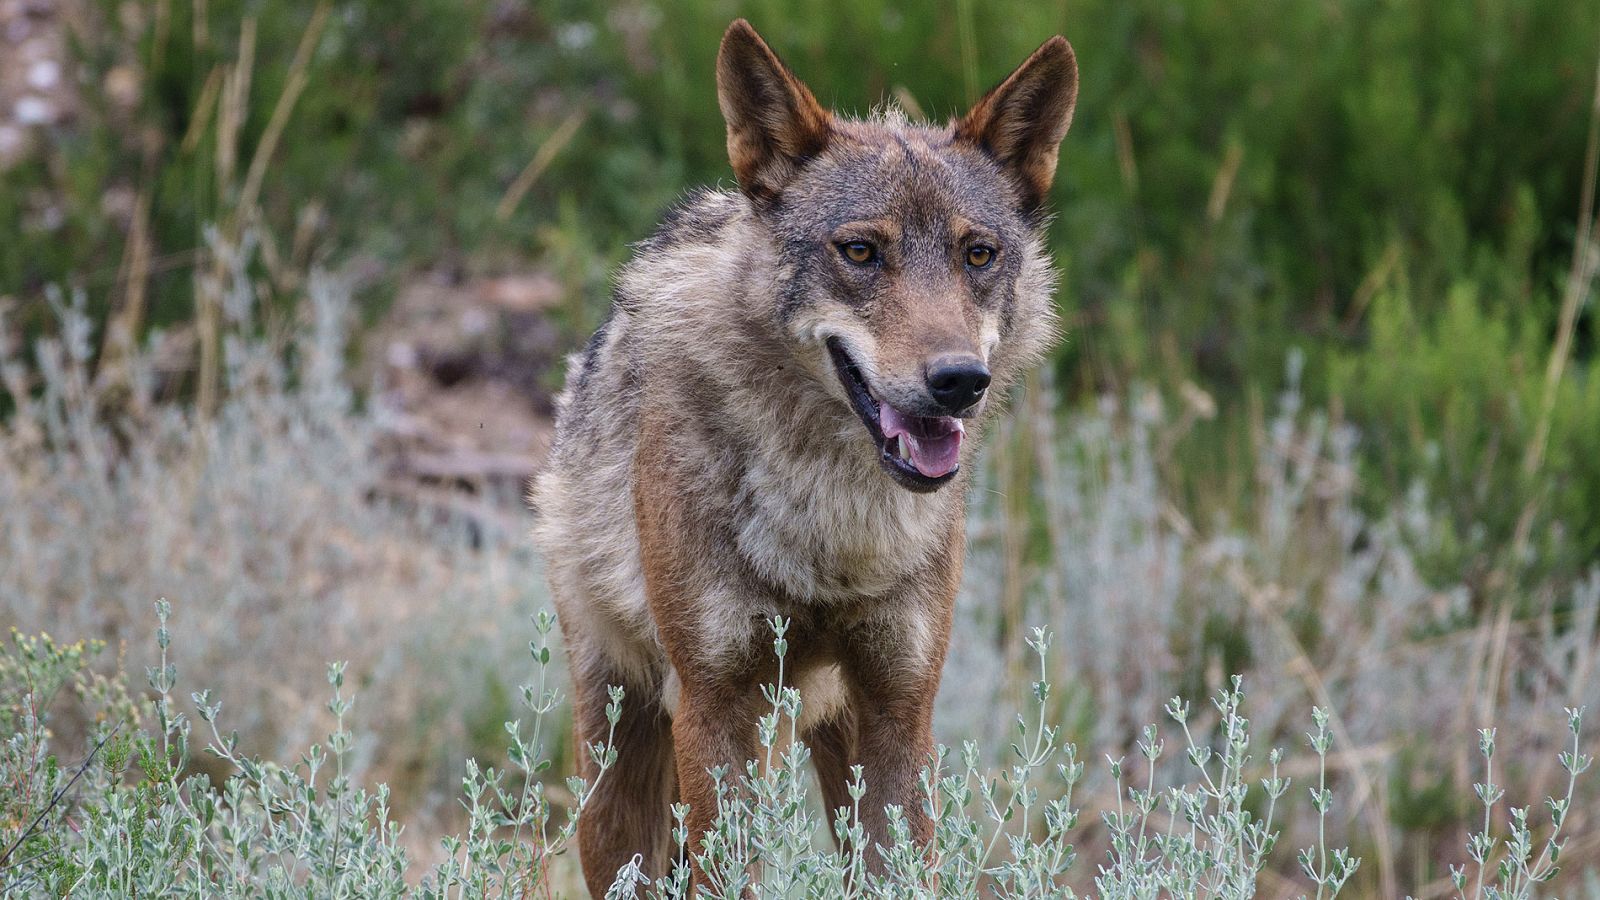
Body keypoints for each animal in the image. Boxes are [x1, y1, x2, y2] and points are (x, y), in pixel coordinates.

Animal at [534, 19, 1075, 890]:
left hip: (827, 729)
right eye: (860, 252)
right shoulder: (715, 704)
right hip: (621, 767)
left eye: (978, 254)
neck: (835, 533)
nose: (959, 380)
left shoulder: (900, 707)